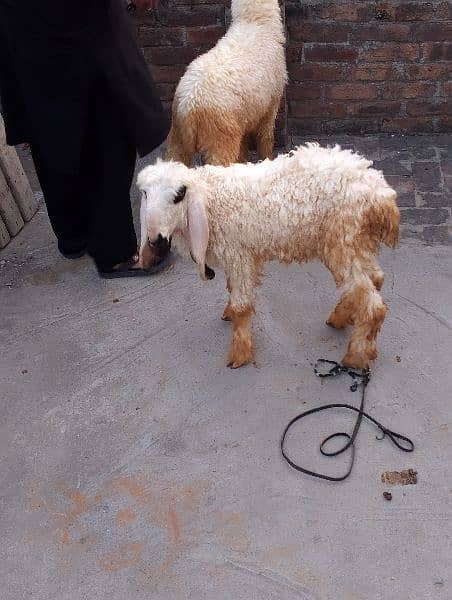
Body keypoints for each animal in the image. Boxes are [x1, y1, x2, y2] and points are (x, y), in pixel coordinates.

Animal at [138, 145, 400, 370]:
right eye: (144, 193)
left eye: (179, 195)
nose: (156, 240)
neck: (213, 200)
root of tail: (381, 196)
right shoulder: (238, 256)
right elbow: (232, 289)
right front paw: (229, 313)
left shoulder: (239, 254)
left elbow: (243, 306)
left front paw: (240, 353)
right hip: (356, 241)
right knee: (375, 278)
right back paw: (344, 321)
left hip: (342, 239)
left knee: (372, 303)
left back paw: (356, 356)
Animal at [165, 0, 286, 166]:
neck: (255, 22)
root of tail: (189, 106)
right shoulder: (270, 105)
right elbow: (265, 139)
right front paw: (267, 159)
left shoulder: (244, 117)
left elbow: (243, 146)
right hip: (220, 137)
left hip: (178, 135)